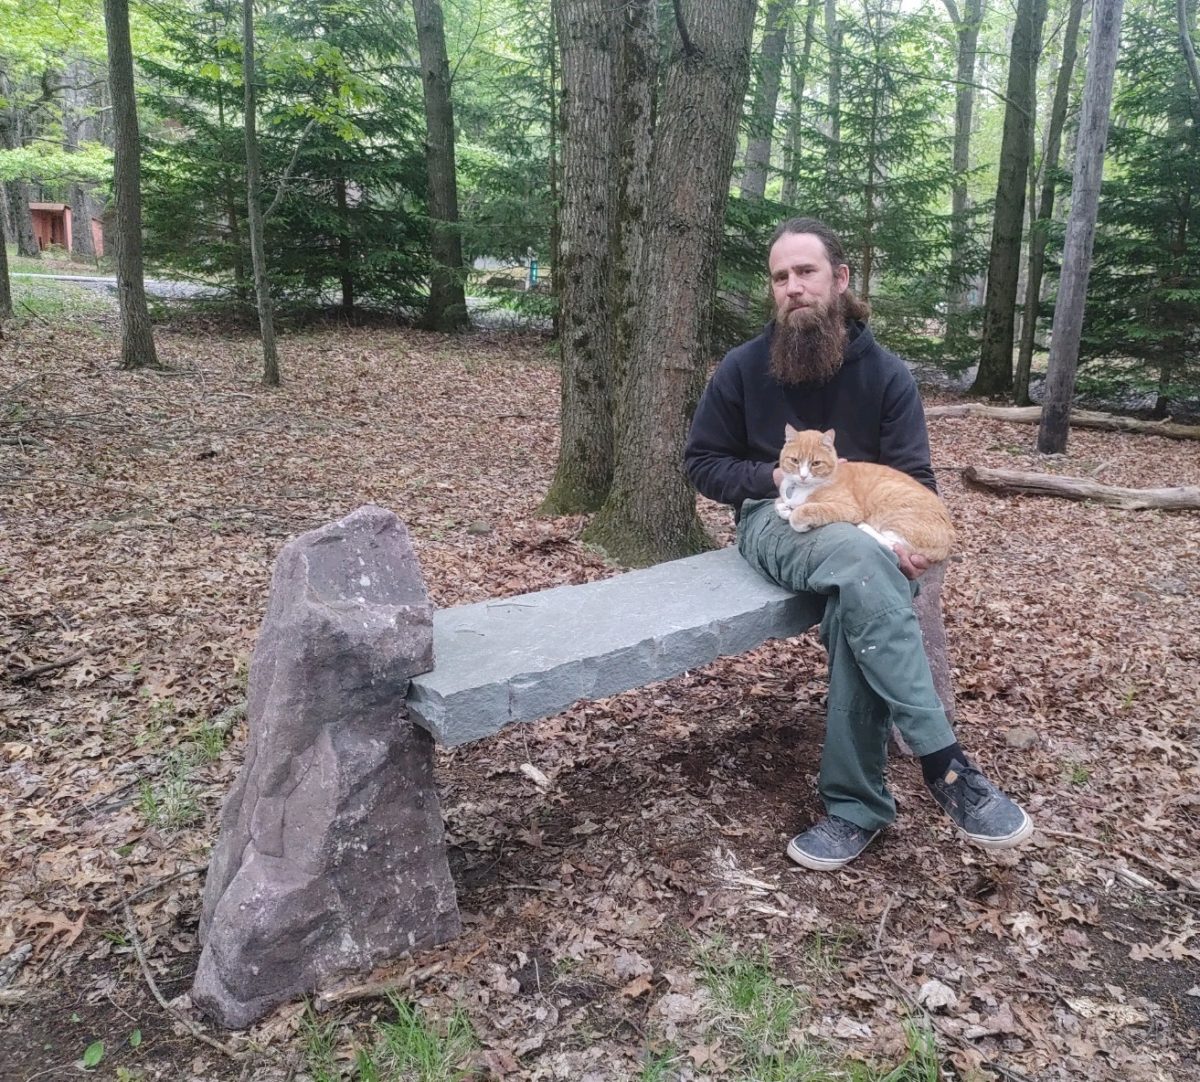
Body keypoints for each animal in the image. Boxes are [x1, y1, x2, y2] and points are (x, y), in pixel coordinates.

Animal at [777, 424, 955, 563]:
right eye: (794, 461)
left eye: (816, 463)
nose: (803, 476)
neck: (801, 488)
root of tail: (949, 537)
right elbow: (778, 504)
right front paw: (785, 508)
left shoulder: (849, 509)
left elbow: (803, 512)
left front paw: (796, 516)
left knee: (894, 546)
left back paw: (864, 526)